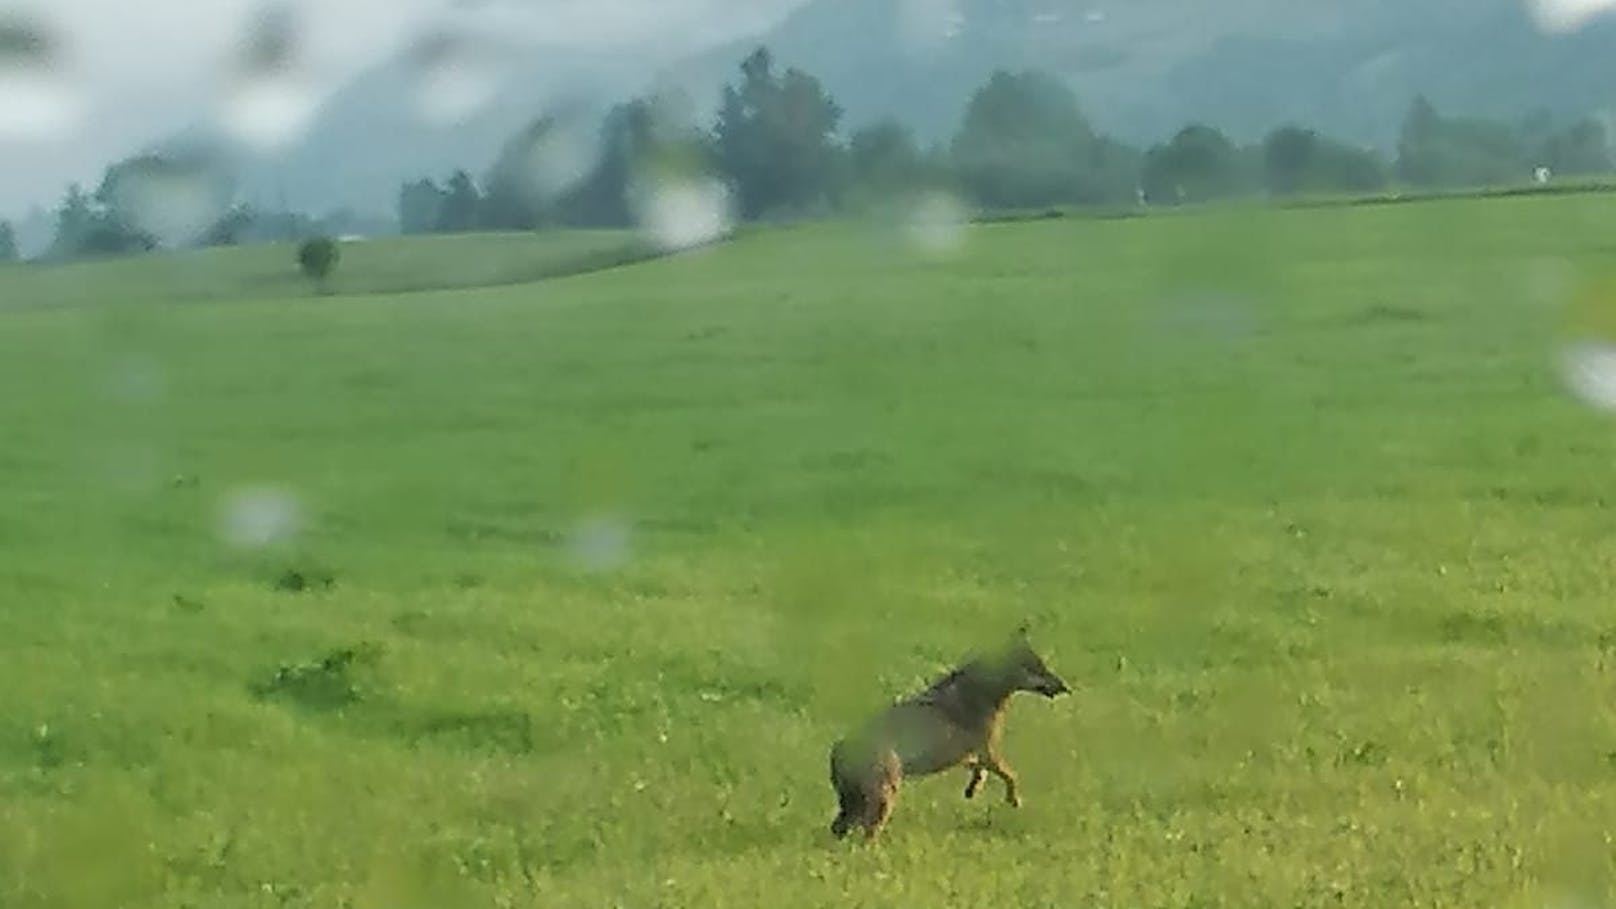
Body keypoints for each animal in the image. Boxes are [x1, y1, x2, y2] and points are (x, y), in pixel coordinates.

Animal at [827, 627, 1066, 841]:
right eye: (1038, 668)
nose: (1066, 687)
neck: (985, 690)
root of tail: (838, 748)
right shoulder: (987, 750)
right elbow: (1011, 776)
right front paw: (1014, 800)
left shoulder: (974, 755)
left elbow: (982, 773)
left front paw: (972, 791)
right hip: (883, 798)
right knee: (867, 833)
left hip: (854, 804)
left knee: (839, 828)